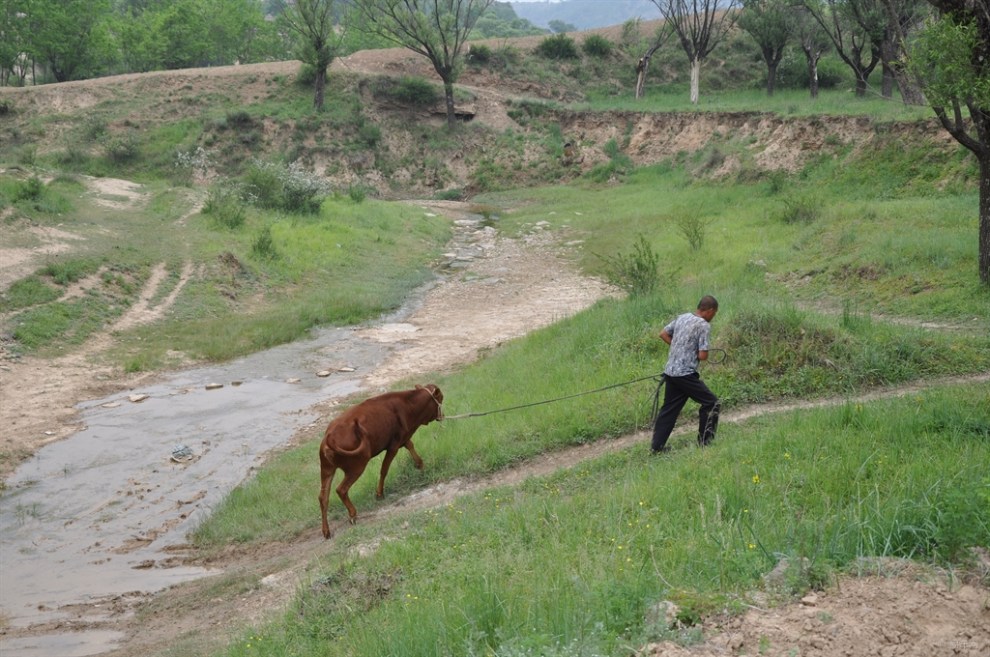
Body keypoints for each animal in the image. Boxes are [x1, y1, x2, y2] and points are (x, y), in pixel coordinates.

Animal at [318, 384, 446, 540]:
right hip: (357, 466)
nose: (442, 416)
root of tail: (329, 436)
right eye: (441, 398)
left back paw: (326, 531)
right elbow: (384, 469)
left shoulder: (402, 438)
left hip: (327, 469)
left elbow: (410, 446)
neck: (407, 404)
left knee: (323, 497)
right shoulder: (393, 445)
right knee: (341, 489)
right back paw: (353, 515)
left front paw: (420, 465)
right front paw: (379, 494)